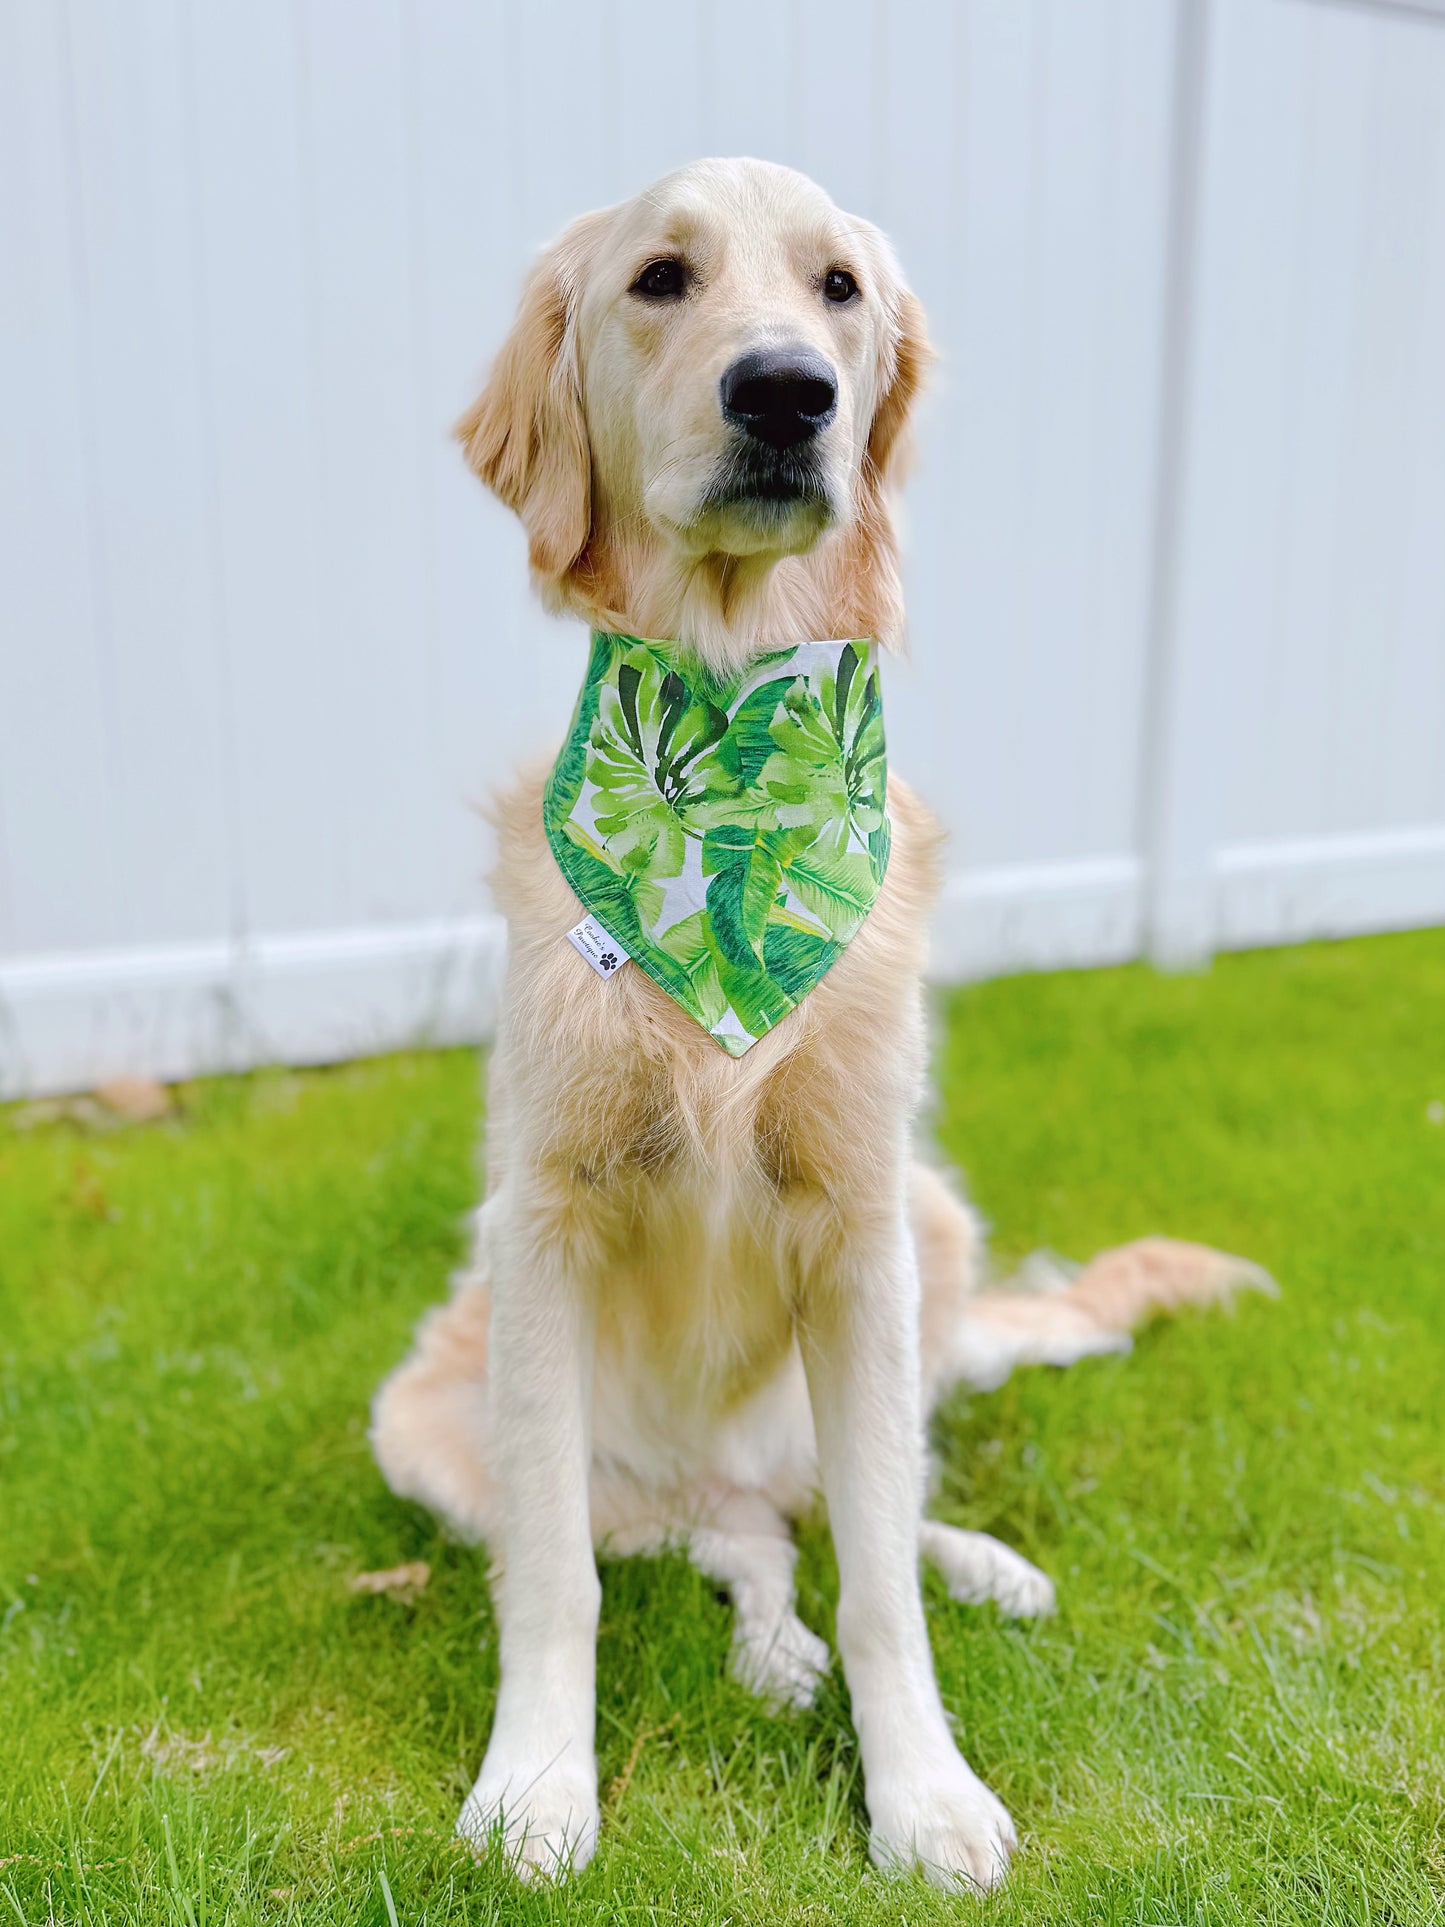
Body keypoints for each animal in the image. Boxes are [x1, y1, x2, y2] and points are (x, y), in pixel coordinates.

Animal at [369, 158, 1263, 1888]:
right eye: (659, 278)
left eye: (837, 288)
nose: (786, 390)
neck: (728, 762)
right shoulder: (544, 1223)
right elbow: (556, 1580)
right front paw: (537, 1786)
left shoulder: (859, 1219)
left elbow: (881, 1582)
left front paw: (924, 1789)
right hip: (431, 1419)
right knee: (727, 1535)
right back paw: (768, 1643)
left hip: (930, 1222)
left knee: (842, 1507)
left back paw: (976, 1560)